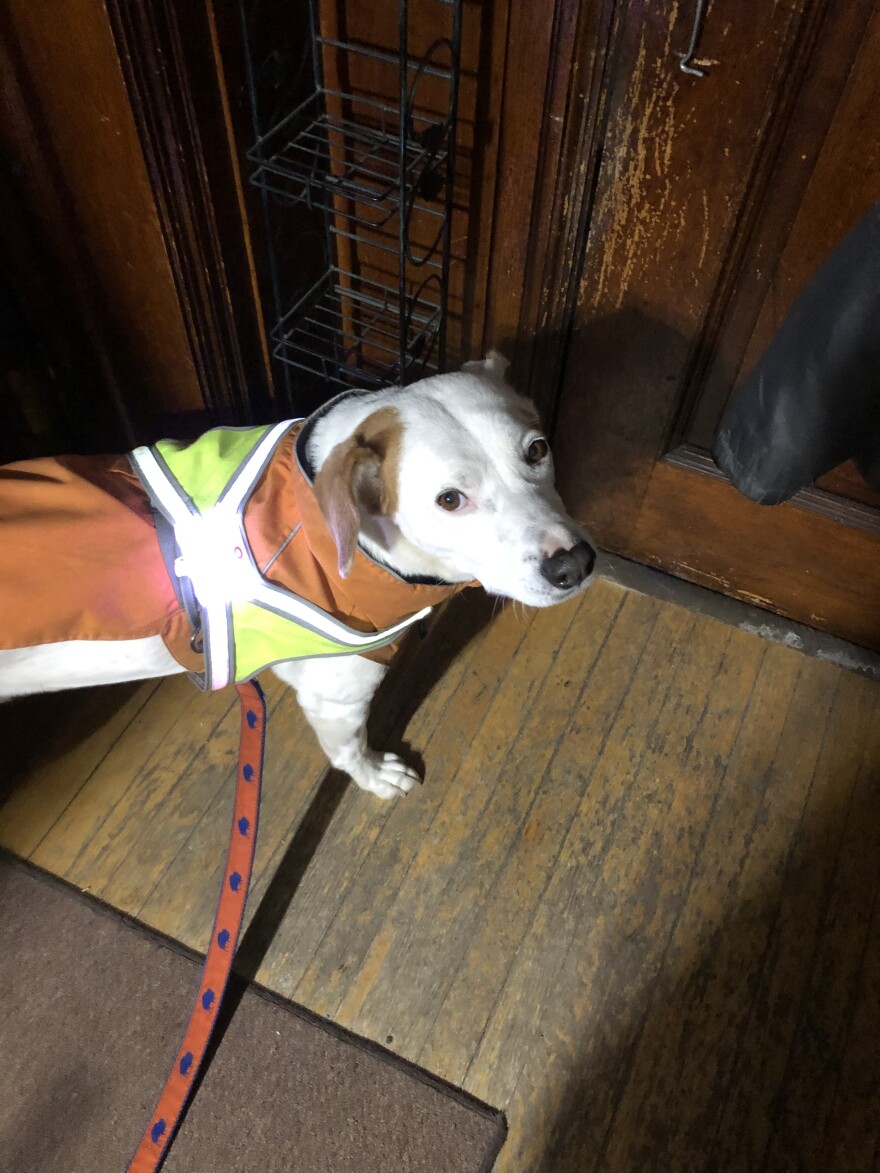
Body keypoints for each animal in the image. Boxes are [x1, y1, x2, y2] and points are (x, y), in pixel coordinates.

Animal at [0, 351, 596, 802]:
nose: (573, 564)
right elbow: (348, 748)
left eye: (538, 449)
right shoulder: (337, 693)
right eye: (450, 500)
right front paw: (374, 775)